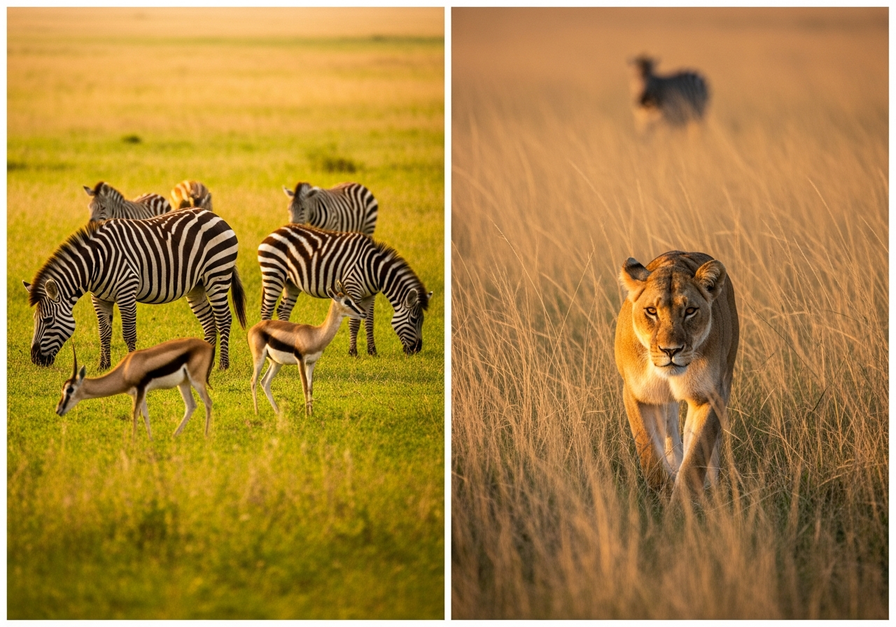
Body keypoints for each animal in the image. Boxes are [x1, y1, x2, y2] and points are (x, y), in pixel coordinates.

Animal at [614, 251, 739, 500]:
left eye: (690, 311)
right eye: (651, 311)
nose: (670, 350)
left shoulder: (709, 395)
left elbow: (695, 459)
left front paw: (682, 504)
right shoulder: (634, 393)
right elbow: (648, 450)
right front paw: (661, 493)